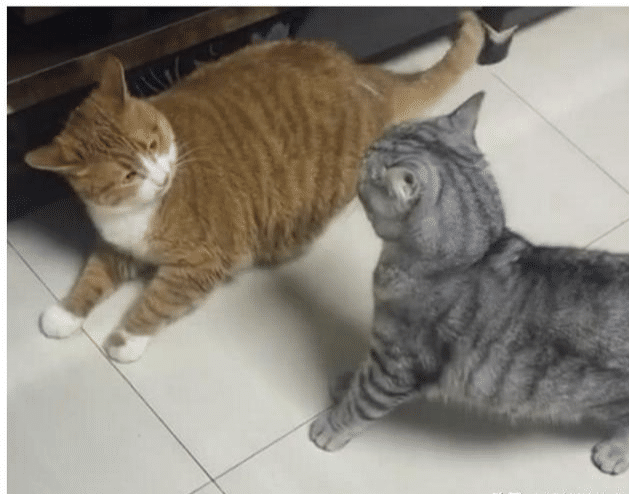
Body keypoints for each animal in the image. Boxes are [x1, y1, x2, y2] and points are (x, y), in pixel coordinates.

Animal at [23, 12, 485, 363]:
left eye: (152, 144)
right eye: (127, 175)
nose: (161, 175)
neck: (135, 214)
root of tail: (359, 71)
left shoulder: (201, 262)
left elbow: (157, 301)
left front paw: (125, 339)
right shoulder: (115, 246)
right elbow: (91, 277)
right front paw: (65, 314)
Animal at [309, 92, 629, 475]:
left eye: (364, 172)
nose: (364, 148)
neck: (474, 254)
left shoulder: (397, 366)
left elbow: (362, 403)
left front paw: (332, 426)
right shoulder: (381, 358)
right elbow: (360, 375)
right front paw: (345, 382)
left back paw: (615, 451)